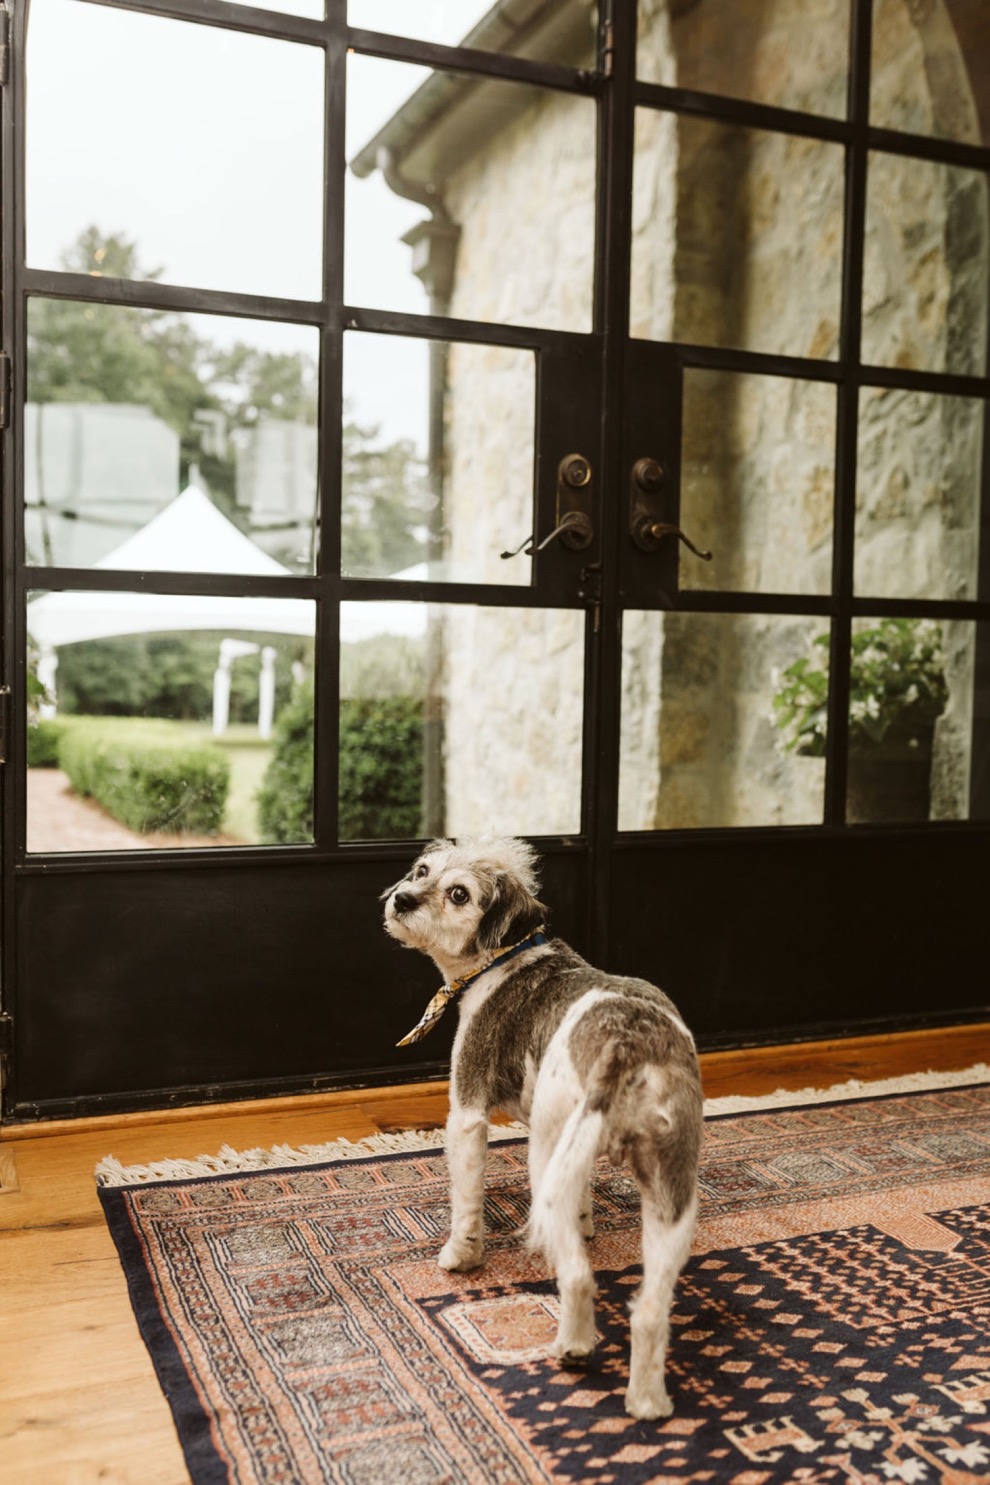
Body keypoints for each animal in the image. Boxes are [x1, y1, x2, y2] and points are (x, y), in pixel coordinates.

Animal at [382, 837, 703, 1413]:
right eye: (421, 870)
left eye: (458, 893)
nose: (402, 897)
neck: (504, 957)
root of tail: (627, 1042)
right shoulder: (574, 1151)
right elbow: (583, 1198)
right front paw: (587, 1221)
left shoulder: (467, 1113)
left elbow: (466, 1201)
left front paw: (461, 1256)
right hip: (672, 1193)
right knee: (649, 1310)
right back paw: (646, 1402)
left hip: (546, 1163)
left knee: (578, 1277)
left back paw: (572, 1348)